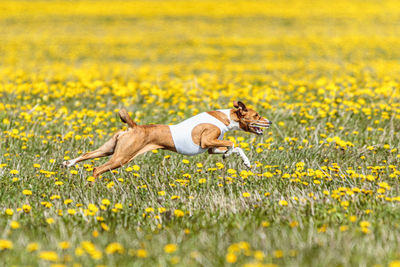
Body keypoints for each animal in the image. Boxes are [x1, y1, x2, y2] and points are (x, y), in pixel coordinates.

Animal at [62, 101, 272, 181]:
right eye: (257, 115)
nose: (269, 121)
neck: (225, 118)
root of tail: (134, 127)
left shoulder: (211, 148)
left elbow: (237, 148)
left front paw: (246, 162)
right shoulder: (206, 141)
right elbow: (231, 144)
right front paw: (229, 153)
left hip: (110, 149)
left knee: (86, 155)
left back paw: (68, 163)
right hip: (121, 158)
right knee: (97, 169)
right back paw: (91, 184)